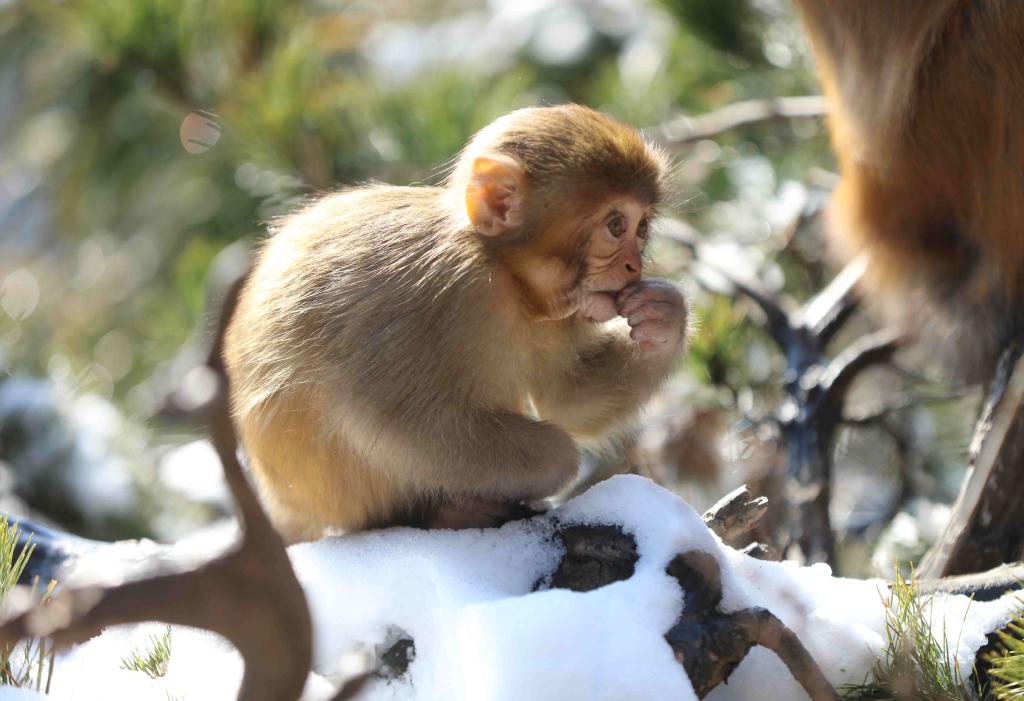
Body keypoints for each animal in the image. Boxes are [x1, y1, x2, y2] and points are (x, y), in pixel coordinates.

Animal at [223, 105, 688, 540]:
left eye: (642, 228)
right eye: (616, 225)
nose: (632, 266)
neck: (505, 275)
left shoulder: (553, 315)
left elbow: (567, 397)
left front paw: (663, 319)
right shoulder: (444, 288)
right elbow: (382, 415)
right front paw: (558, 459)